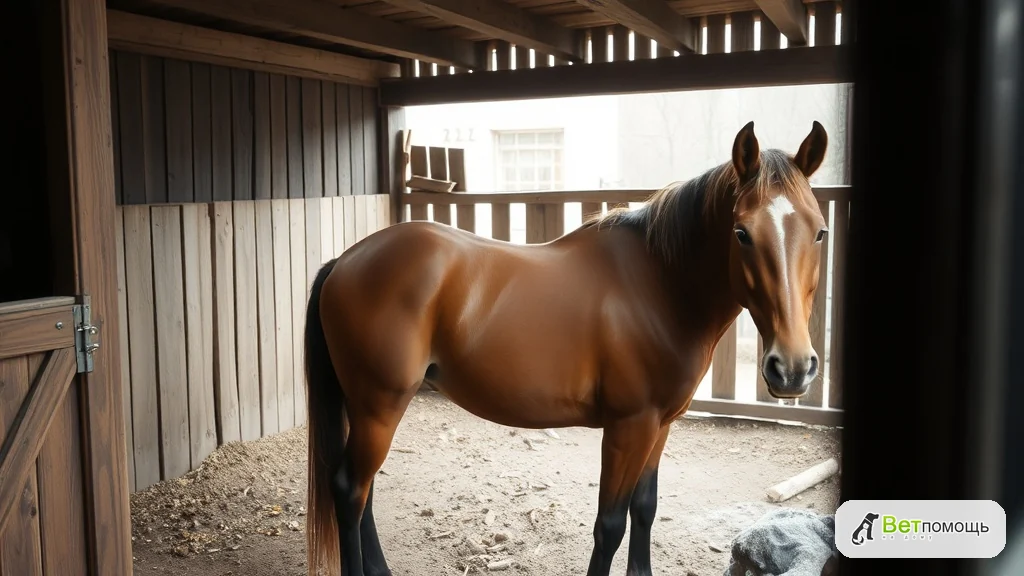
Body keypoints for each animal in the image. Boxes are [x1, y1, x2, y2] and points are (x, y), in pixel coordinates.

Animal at [303, 120, 830, 576]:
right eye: (741, 232)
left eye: (820, 230)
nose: (792, 369)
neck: (657, 285)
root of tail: (344, 262)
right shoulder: (628, 427)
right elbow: (610, 525)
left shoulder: (659, 426)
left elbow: (645, 508)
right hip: (379, 406)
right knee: (350, 490)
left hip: (371, 408)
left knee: (364, 492)